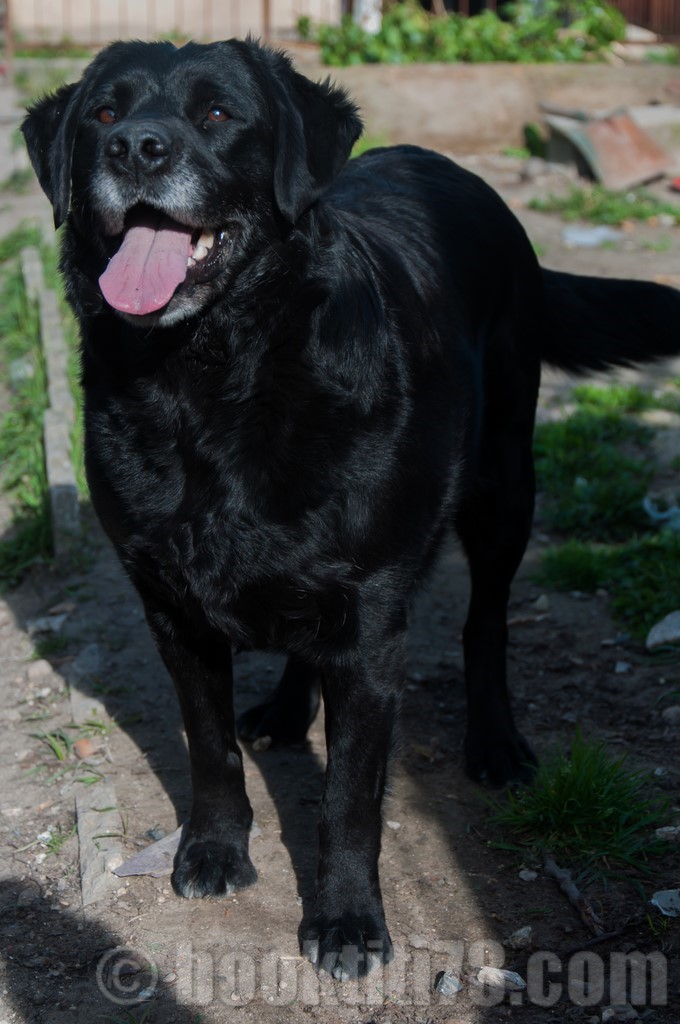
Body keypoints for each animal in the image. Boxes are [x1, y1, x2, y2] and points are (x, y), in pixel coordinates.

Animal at [22, 37, 680, 978]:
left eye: (217, 113)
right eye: (104, 114)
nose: (136, 148)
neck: (210, 384)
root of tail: (453, 169)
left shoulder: (370, 619)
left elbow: (350, 798)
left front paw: (345, 920)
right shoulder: (171, 605)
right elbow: (208, 747)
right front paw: (213, 850)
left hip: (503, 487)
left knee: (485, 623)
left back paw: (495, 742)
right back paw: (287, 709)